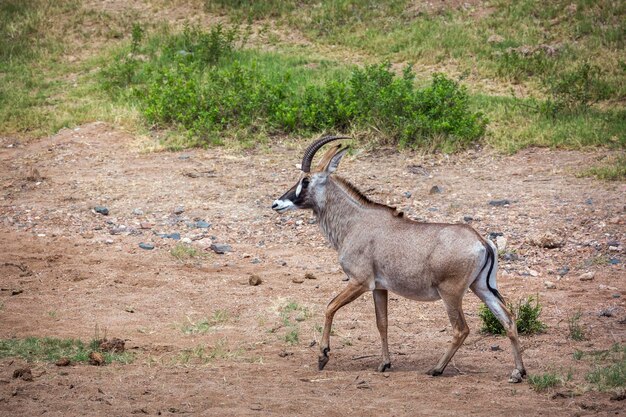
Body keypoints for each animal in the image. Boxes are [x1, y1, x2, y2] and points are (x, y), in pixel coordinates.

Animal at [270, 135, 524, 382]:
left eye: (306, 180)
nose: (276, 204)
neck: (355, 222)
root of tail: (482, 242)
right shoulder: (379, 287)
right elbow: (382, 322)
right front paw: (384, 363)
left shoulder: (359, 282)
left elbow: (330, 306)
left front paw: (323, 356)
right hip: (482, 287)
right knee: (508, 319)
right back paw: (518, 372)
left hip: (451, 293)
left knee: (461, 329)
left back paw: (437, 369)